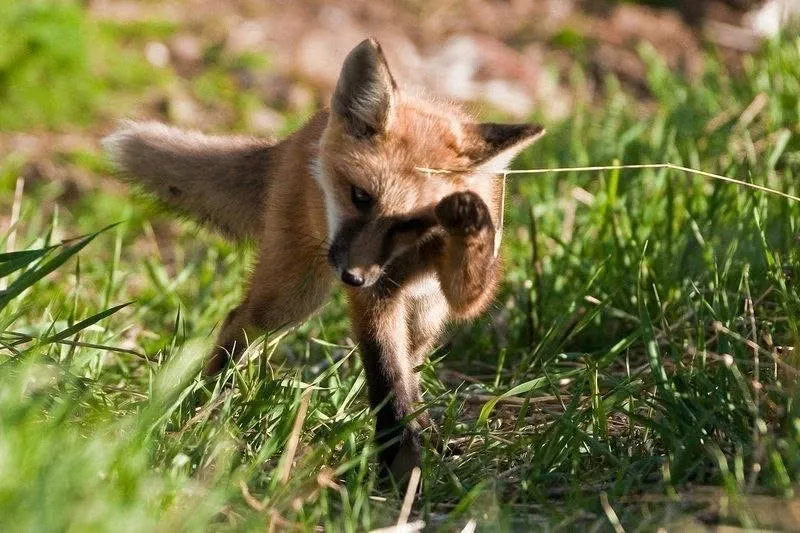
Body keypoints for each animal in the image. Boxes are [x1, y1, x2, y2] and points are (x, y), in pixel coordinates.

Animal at [104, 38, 543, 481]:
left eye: (413, 221)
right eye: (360, 196)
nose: (353, 277)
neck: (415, 254)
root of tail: (298, 133)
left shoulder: (451, 294)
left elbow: (462, 302)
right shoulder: (376, 299)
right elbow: (386, 380)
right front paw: (400, 469)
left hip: (425, 315)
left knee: (414, 365)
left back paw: (432, 435)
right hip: (292, 298)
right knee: (236, 320)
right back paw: (204, 404)